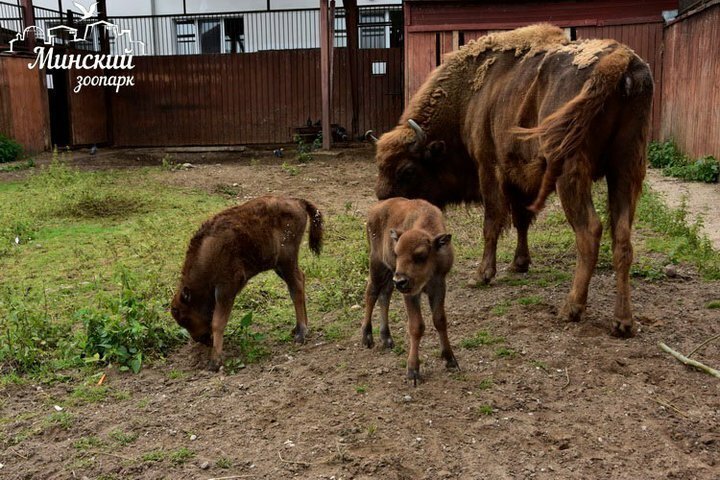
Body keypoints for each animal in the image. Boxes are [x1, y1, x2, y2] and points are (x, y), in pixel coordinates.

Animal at [170, 195, 322, 372]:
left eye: (185, 317)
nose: (201, 339)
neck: (208, 253)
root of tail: (298, 201)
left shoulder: (226, 288)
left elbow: (218, 322)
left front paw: (215, 362)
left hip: (286, 260)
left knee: (296, 288)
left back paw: (300, 334)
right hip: (279, 265)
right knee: (301, 278)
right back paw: (299, 328)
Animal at [362, 198, 458, 382]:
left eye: (420, 256)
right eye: (397, 253)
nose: (400, 281)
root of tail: (375, 209)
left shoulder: (439, 286)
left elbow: (440, 320)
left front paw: (450, 359)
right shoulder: (411, 294)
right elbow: (416, 326)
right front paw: (413, 371)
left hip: (389, 273)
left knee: (384, 295)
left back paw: (387, 338)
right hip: (377, 265)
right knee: (371, 293)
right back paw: (367, 337)